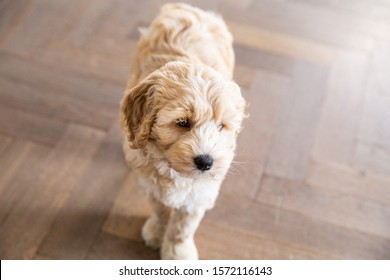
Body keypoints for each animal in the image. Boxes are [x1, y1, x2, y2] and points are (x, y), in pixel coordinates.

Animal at [120, 2, 245, 260]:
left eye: (221, 126)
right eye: (183, 123)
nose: (206, 162)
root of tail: (186, 7)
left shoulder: (201, 191)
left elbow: (183, 225)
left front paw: (178, 252)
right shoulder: (150, 183)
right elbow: (159, 210)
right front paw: (157, 232)